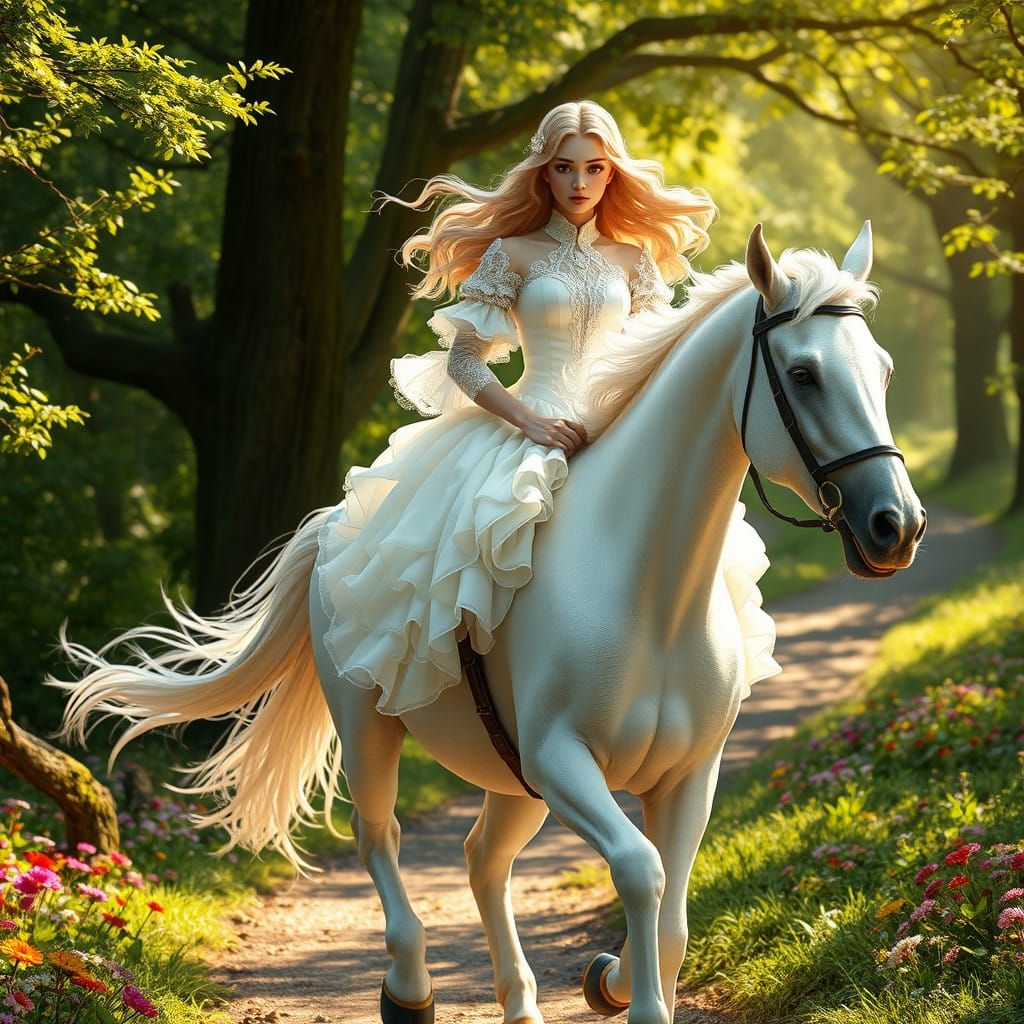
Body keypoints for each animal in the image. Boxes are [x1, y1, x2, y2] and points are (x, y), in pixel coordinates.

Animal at [53, 222, 926, 1024]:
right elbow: (640, 872)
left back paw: (520, 1001)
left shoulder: (687, 774)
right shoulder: (563, 760)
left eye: (885, 369)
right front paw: (626, 988)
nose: (897, 527)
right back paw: (409, 990)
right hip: (373, 730)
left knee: (481, 859)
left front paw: (611, 980)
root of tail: (333, 523)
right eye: (804, 374)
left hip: (514, 781)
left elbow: (673, 920)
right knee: (380, 838)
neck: (649, 587)